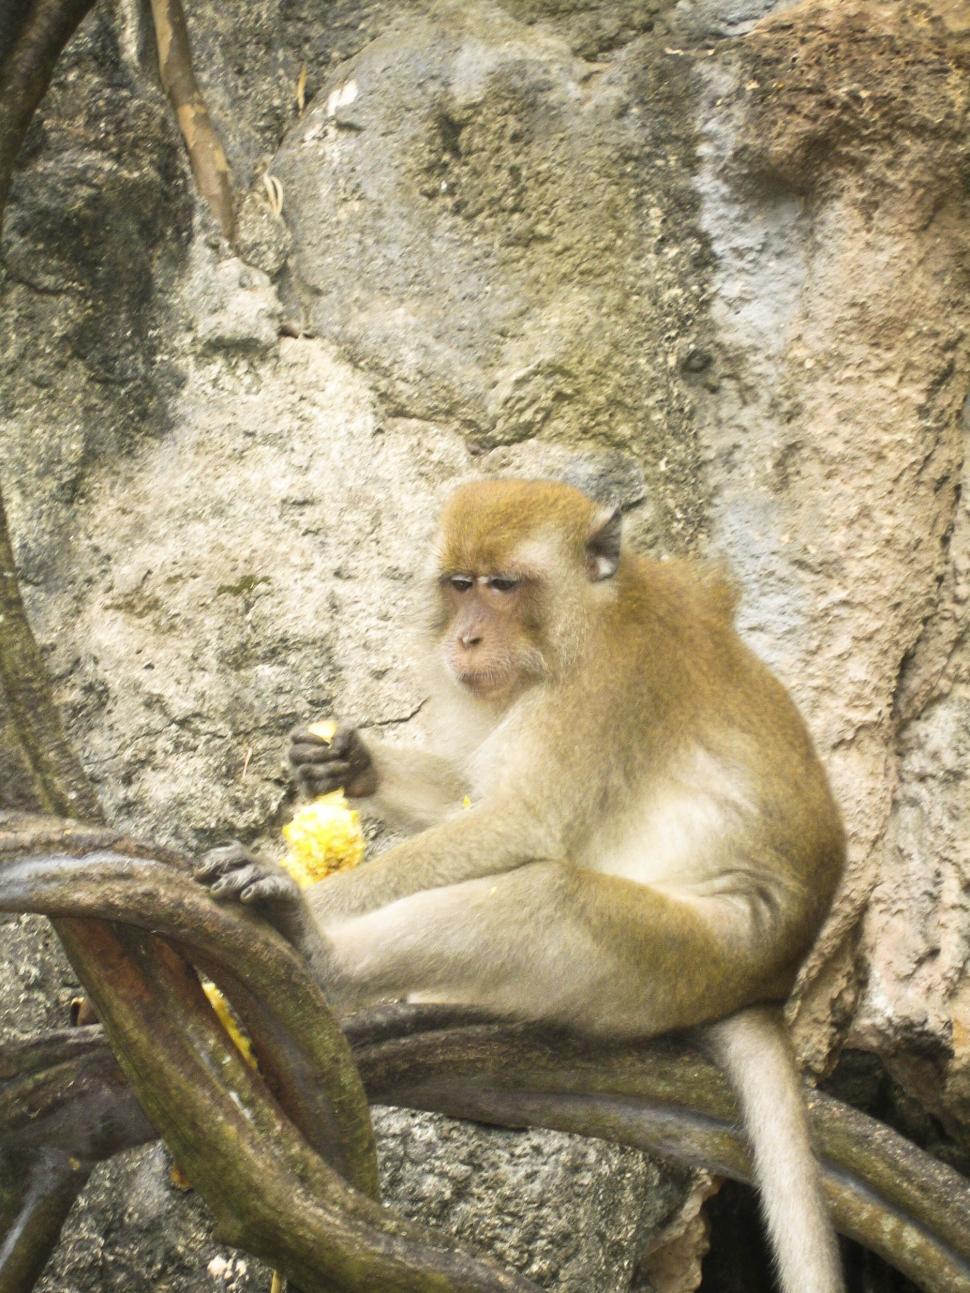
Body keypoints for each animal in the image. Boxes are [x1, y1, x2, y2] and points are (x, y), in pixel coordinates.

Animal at [196, 478, 846, 1293]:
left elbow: (518, 825)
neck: (588, 617)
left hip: (688, 960)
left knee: (551, 900)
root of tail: (769, 982)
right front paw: (351, 763)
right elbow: (474, 793)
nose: (466, 639)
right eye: (460, 584)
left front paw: (308, 897)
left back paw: (320, 952)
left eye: (503, 586)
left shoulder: (602, 685)